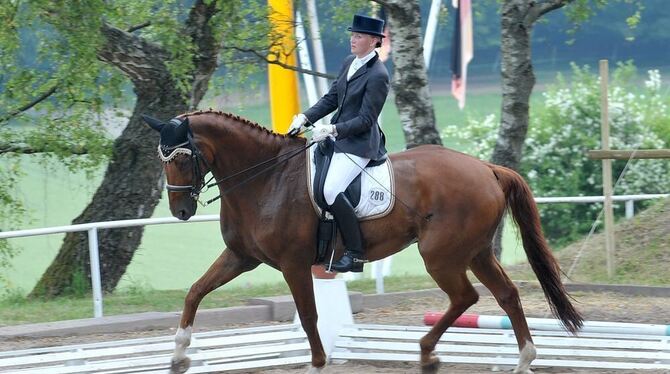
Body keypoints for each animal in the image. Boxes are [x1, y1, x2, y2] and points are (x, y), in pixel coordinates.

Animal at [143, 109, 584, 372]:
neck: (266, 178)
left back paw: (428, 353)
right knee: (505, 294)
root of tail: (486, 168)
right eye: (162, 158)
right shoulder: (239, 257)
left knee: (466, 297)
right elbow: (195, 292)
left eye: (182, 157)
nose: (181, 211)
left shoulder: (293, 264)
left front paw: (318, 363)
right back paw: (522, 359)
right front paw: (179, 354)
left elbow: (309, 316)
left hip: (440, 255)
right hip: (475, 252)